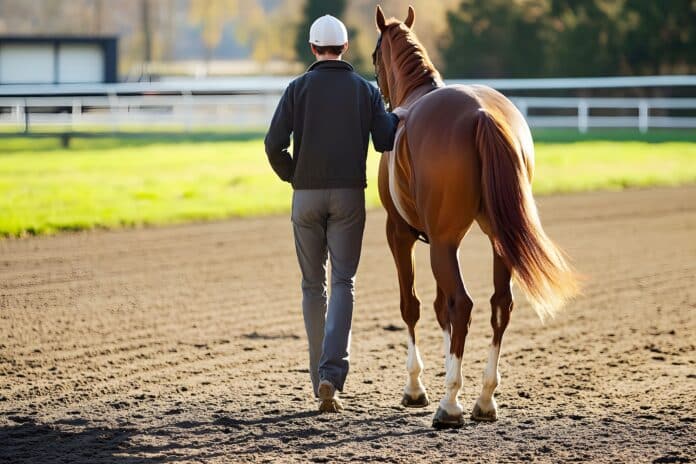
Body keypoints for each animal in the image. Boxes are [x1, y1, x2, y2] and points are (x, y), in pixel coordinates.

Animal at [372, 5, 580, 428]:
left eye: (373, 56)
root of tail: (481, 114)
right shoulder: (436, 239)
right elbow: (441, 308)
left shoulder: (400, 233)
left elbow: (412, 305)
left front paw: (416, 387)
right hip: (499, 238)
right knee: (500, 305)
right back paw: (484, 398)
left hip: (442, 241)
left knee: (463, 304)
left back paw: (450, 405)